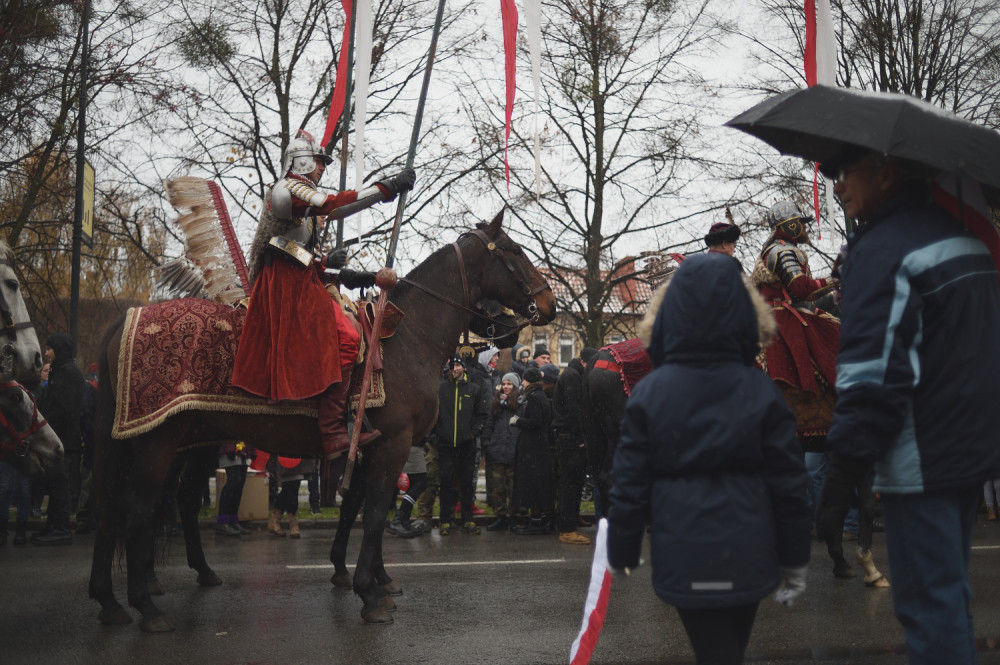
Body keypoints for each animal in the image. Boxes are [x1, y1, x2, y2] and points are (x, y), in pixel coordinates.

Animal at [88, 210, 556, 632]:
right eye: (515, 251)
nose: (549, 304)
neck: (405, 338)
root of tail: (125, 319)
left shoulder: (367, 448)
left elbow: (356, 509)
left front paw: (362, 576)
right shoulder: (392, 445)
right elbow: (376, 511)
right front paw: (371, 593)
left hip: (183, 441)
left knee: (149, 505)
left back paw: (122, 597)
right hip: (156, 444)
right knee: (136, 511)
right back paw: (146, 606)